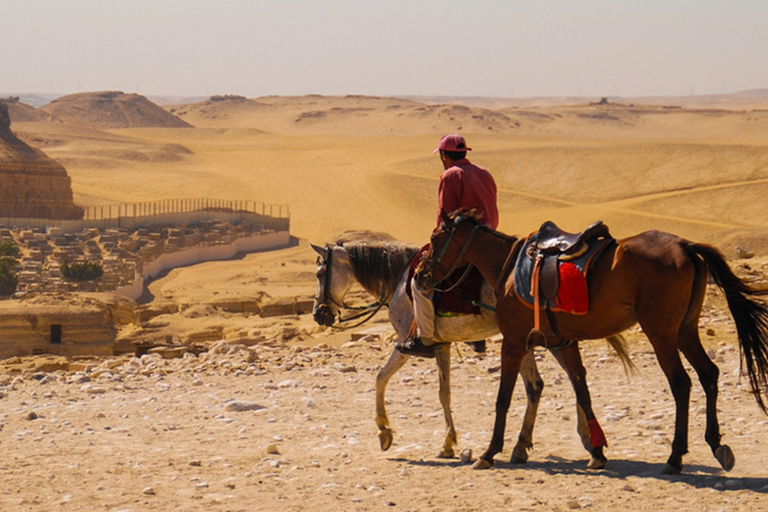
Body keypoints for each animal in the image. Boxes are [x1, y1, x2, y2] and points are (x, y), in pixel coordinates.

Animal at [308, 238, 632, 462]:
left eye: (319, 272)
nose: (318, 314)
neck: (399, 279)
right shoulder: (442, 345)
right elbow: (444, 392)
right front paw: (448, 443)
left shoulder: (407, 344)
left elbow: (382, 379)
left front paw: (385, 432)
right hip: (529, 339)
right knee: (545, 384)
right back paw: (531, 445)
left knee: (562, 380)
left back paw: (583, 441)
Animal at [420, 210, 768, 474]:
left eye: (436, 239)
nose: (423, 274)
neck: (507, 268)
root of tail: (685, 246)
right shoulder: (563, 343)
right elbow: (582, 391)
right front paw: (598, 452)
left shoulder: (514, 342)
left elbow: (503, 398)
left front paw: (489, 452)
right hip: (685, 330)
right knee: (709, 374)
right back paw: (717, 445)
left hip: (661, 333)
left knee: (681, 383)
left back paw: (675, 457)